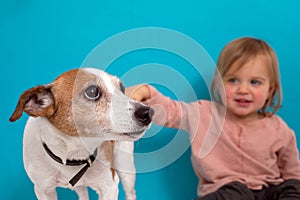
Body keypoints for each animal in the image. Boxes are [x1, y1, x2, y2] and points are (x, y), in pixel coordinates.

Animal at [9, 68, 152, 199]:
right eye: (92, 92)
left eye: (121, 89)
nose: (148, 112)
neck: (73, 154)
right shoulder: (43, 189)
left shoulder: (109, 188)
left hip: (126, 168)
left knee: (130, 193)